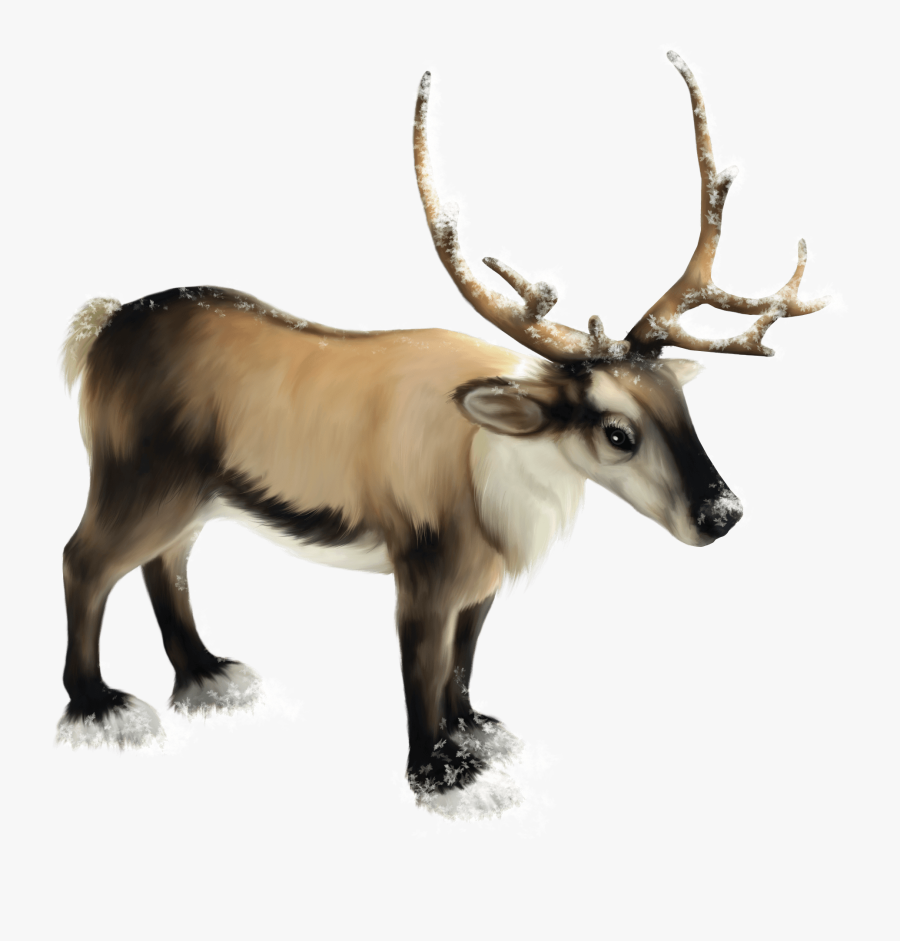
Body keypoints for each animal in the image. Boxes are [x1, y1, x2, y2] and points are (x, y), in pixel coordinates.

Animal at [59, 52, 829, 816]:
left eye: (681, 405)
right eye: (617, 432)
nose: (723, 512)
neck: (495, 476)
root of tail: (101, 327)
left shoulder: (481, 578)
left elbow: (465, 659)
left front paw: (473, 732)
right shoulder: (424, 568)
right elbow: (422, 669)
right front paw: (439, 775)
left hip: (196, 495)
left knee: (167, 563)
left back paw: (206, 673)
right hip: (137, 475)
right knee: (83, 559)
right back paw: (98, 704)